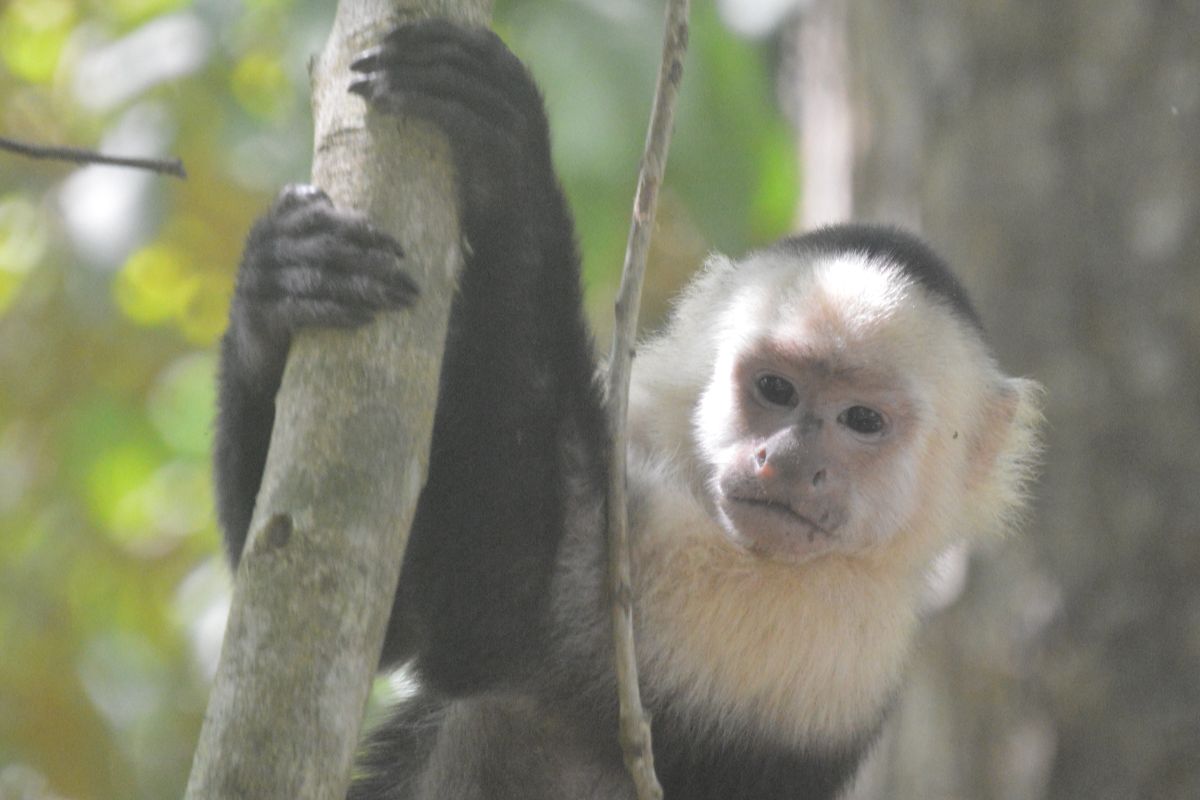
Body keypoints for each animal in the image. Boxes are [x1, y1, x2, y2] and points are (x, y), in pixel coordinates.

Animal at [214, 20, 1042, 800]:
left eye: (862, 421)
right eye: (776, 389)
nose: (787, 461)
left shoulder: (815, 625)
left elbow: (484, 626)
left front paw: (513, 170)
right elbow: (372, 616)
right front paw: (276, 290)